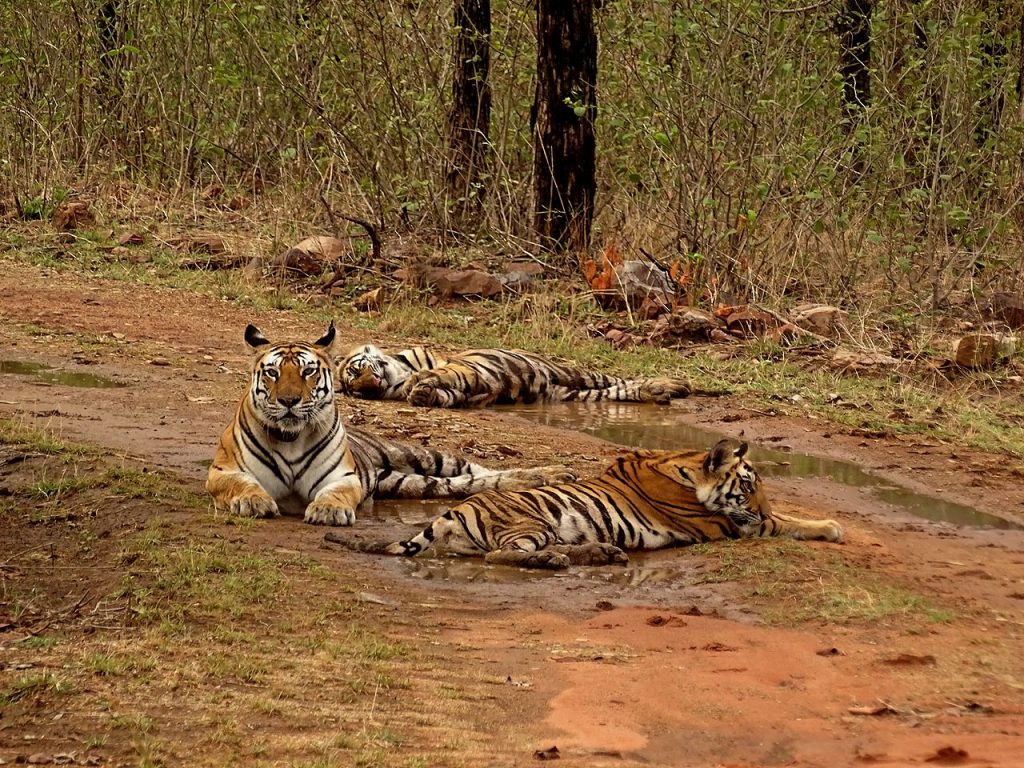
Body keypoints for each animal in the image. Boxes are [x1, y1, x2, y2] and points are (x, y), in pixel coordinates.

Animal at [205, 321, 577, 528]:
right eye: (272, 372)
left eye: (308, 371)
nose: (289, 401)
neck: (290, 437)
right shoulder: (222, 472)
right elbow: (242, 485)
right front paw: (254, 502)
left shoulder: (343, 477)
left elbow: (335, 495)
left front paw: (328, 511)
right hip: (407, 481)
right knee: (463, 484)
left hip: (423, 456)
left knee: (479, 471)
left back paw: (555, 474)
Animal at [333, 438, 839, 573]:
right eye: (748, 485)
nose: (762, 506)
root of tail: (450, 513)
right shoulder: (724, 525)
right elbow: (782, 524)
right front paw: (831, 526)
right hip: (531, 522)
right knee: (502, 555)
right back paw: (559, 560)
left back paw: (600, 553)